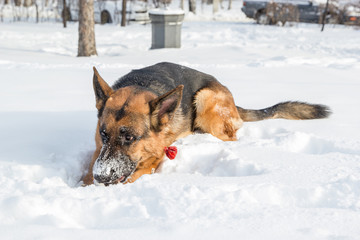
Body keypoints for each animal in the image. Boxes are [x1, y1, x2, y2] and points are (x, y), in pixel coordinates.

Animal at [82, 62, 332, 186]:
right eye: (104, 134)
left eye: (129, 138)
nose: (101, 177)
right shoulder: (97, 151)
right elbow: (88, 171)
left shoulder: (156, 156)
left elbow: (135, 174)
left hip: (205, 98)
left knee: (230, 137)